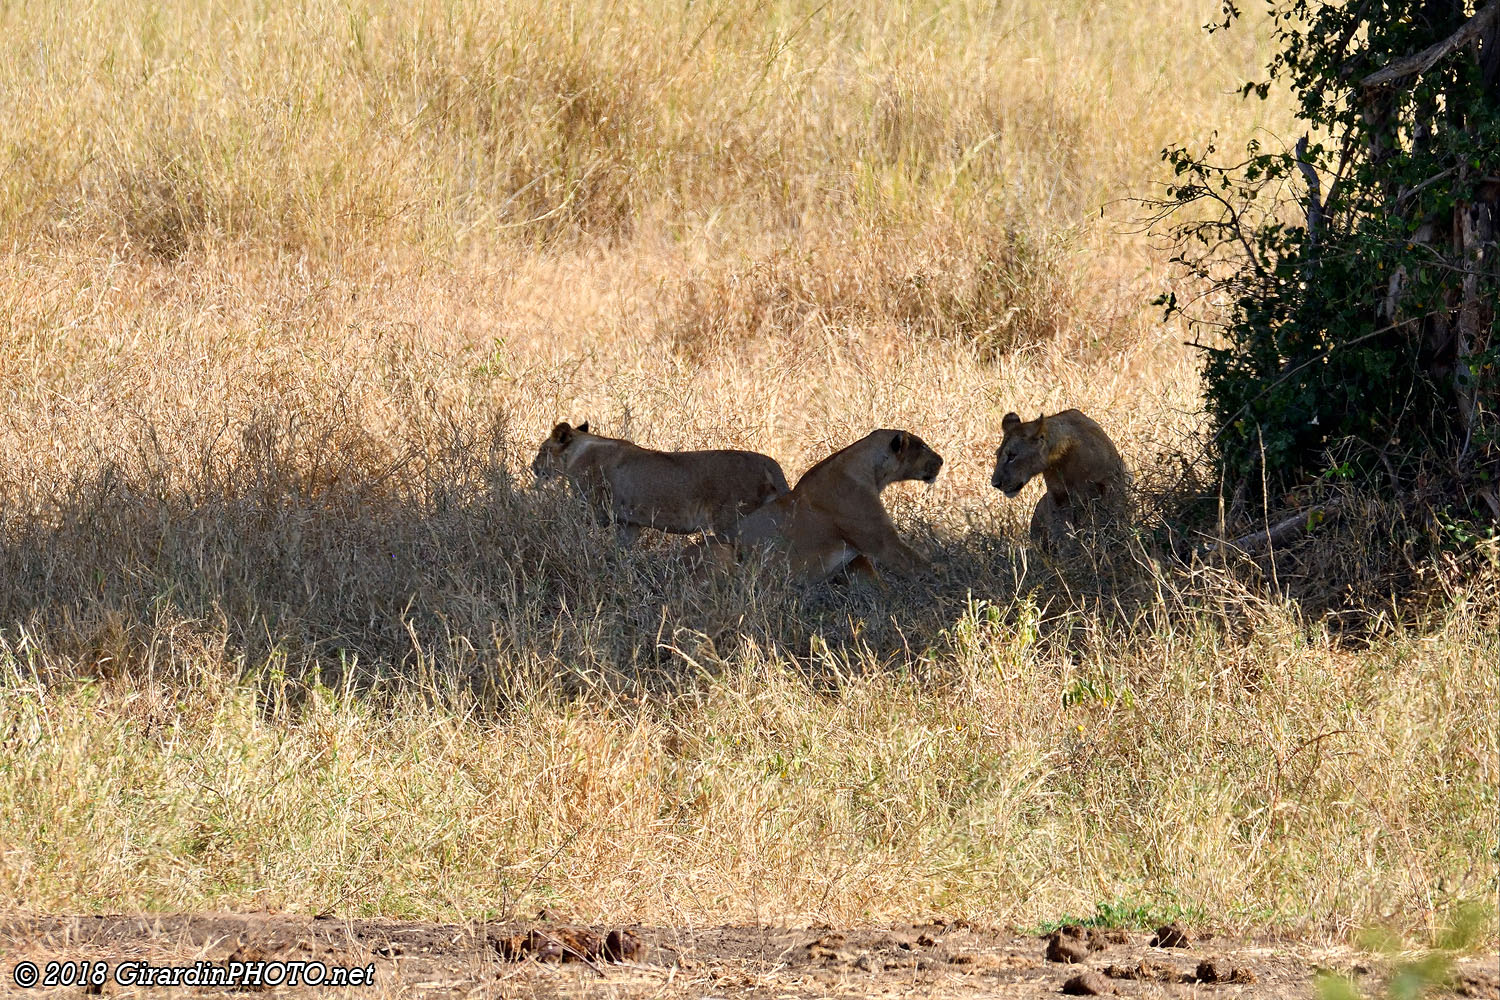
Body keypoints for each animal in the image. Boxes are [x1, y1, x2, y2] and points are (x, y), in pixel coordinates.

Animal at [530, 421, 789, 542]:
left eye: (542, 450)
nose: (533, 468)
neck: (578, 450)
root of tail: (768, 461)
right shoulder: (629, 523)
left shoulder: (595, 512)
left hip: (730, 521)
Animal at [735, 429, 943, 584]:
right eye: (923, 446)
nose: (941, 460)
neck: (874, 473)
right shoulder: (884, 542)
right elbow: (919, 566)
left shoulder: (855, 559)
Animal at [991, 409, 1129, 547]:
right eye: (997, 455)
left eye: (1012, 456)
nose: (995, 484)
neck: (1063, 458)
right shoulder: (1057, 497)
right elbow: (1063, 530)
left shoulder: (1112, 484)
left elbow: (1112, 514)